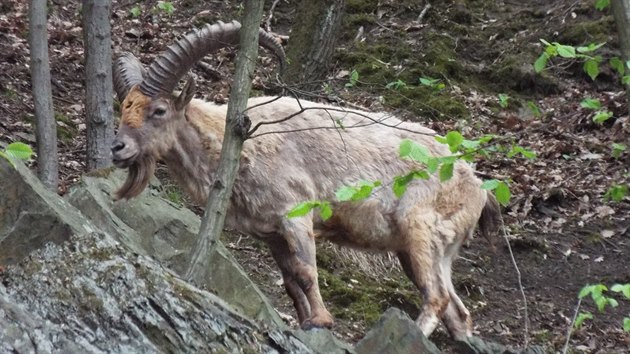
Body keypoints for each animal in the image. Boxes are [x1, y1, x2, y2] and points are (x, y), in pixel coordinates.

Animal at [111, 20, 502, 340]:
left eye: (159, 110)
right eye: (123, 108)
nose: (117, 147)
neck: (240, 141)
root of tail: (479, 187)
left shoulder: (296, 215)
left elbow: (306, 272)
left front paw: (321, 322)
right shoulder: (270, 233)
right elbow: (288, 281)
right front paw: (303, 321)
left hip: (418, 231)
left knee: (436, 297)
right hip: (433, 250)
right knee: (458, 311)